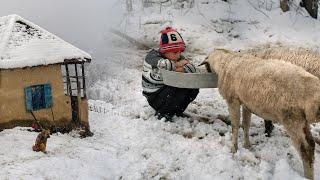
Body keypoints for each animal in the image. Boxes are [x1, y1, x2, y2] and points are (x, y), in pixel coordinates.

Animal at [204, 48, 318, 179]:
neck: (226, 61)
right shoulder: (246, 103)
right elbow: (246, 124)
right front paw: (247, 145)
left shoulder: (233, 100)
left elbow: (235, 126)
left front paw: (234, 148)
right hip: (302, 120)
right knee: (311, 144)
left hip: (292, 119)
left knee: (306, 149)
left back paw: (307, 176)